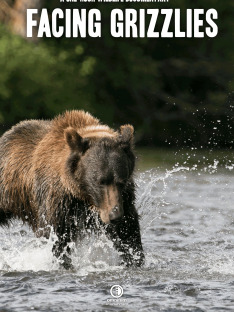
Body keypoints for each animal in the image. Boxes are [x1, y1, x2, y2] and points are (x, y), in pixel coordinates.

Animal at [0, 111, 144, 270]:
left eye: (121, 181)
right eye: (100, 181)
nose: (114, 216)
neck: (83, 195)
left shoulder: (125, 198)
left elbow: (128, 233)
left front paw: (134, 259)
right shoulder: (58, 201)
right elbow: (57, 237)